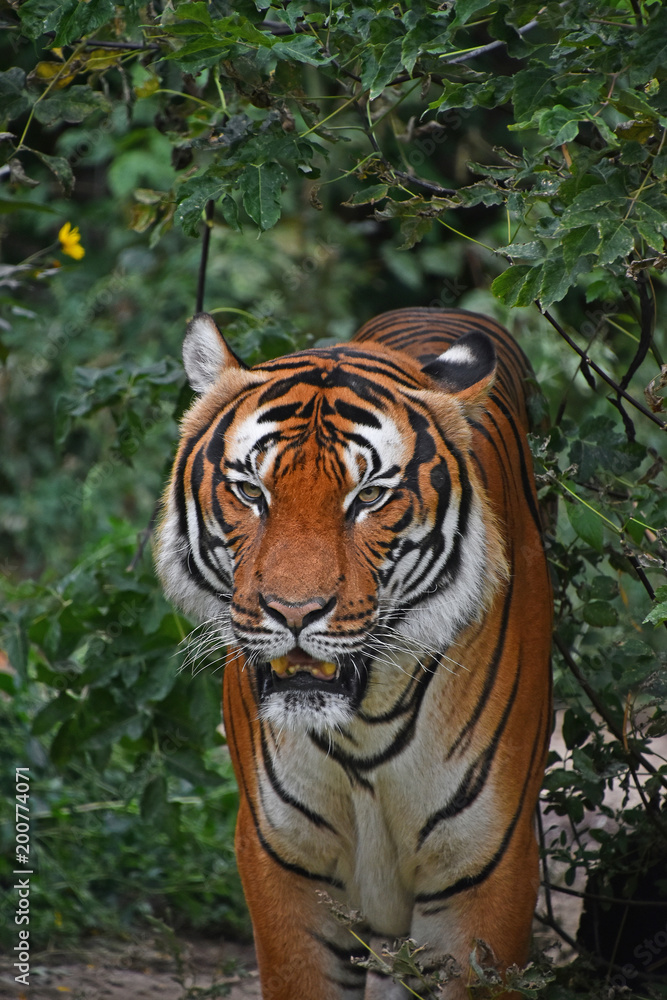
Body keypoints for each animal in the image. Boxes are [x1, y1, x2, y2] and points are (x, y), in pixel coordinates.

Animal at [156, 306, 553, 1000]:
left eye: (368, 497)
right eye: (250, 491)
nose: (293, 612)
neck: (366, 723)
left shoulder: (488, 868)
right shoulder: (283, 860)